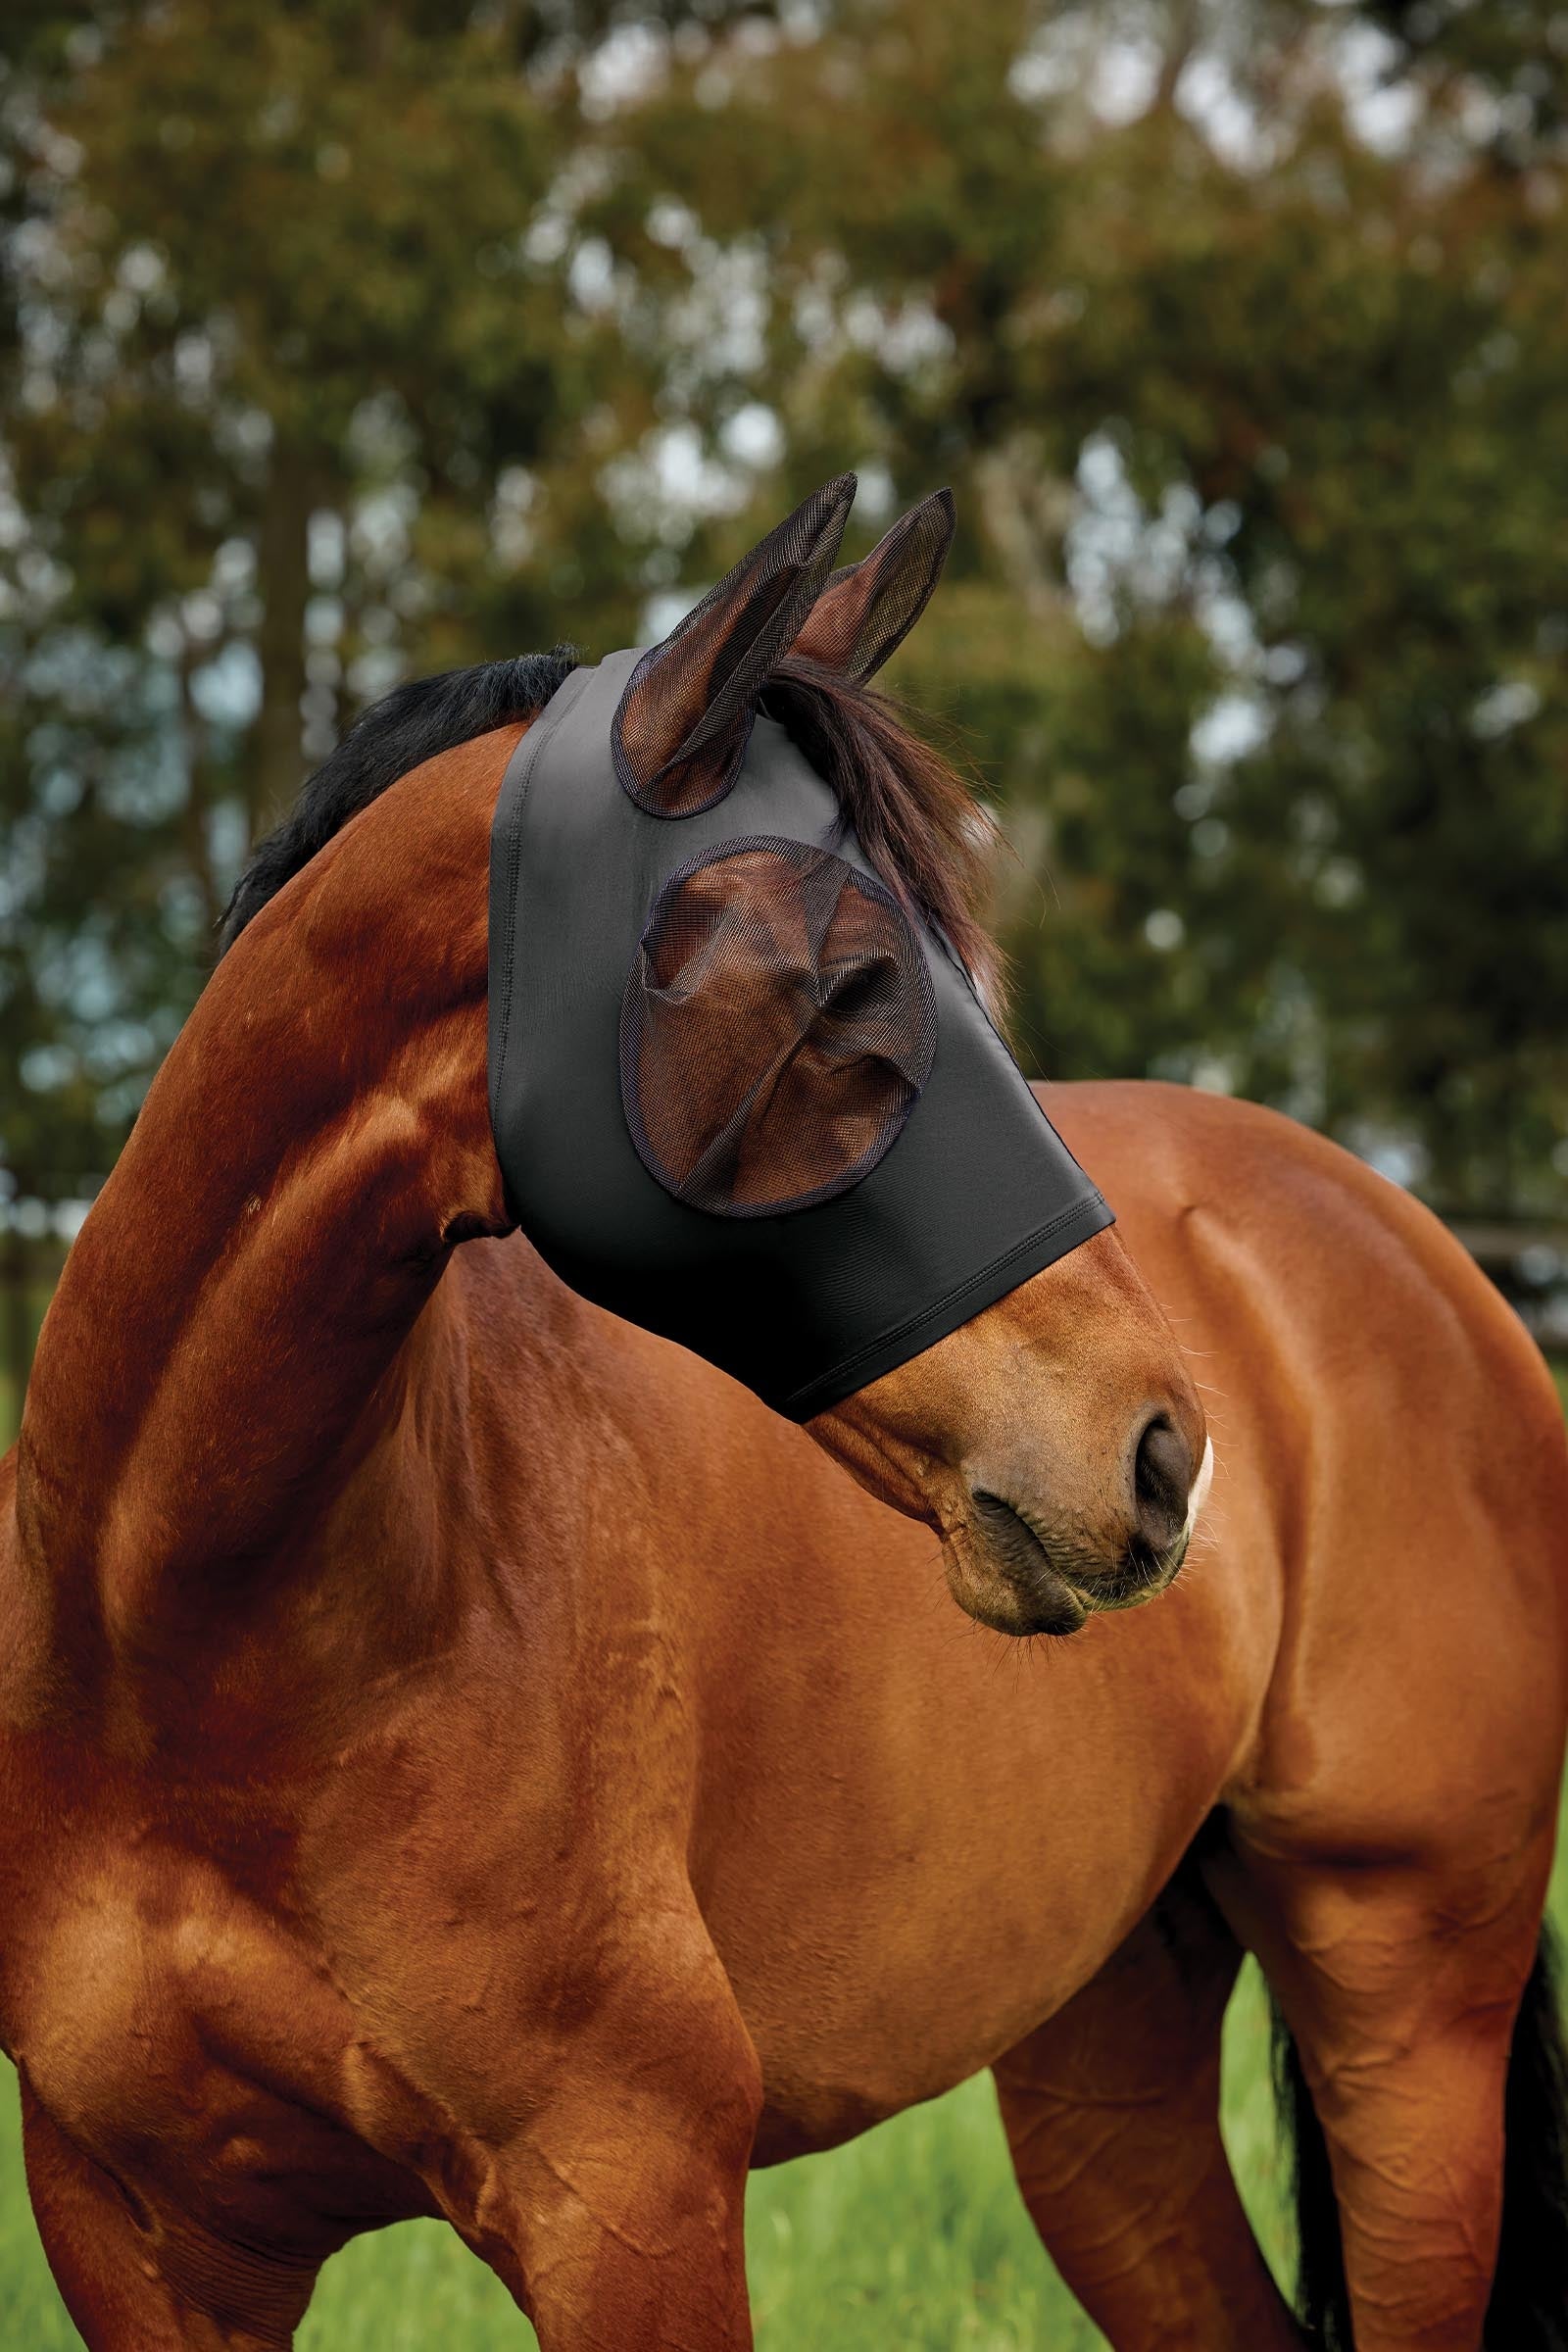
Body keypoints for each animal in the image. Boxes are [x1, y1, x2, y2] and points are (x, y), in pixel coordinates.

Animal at [1, 517, 1566, 2351]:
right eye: (844, 985)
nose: (1166, 1455)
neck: (193, 1662)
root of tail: (1425, 1257)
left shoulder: (631, 2198)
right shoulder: (138, 2239)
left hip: (1408, 2028)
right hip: (1107, 2074)